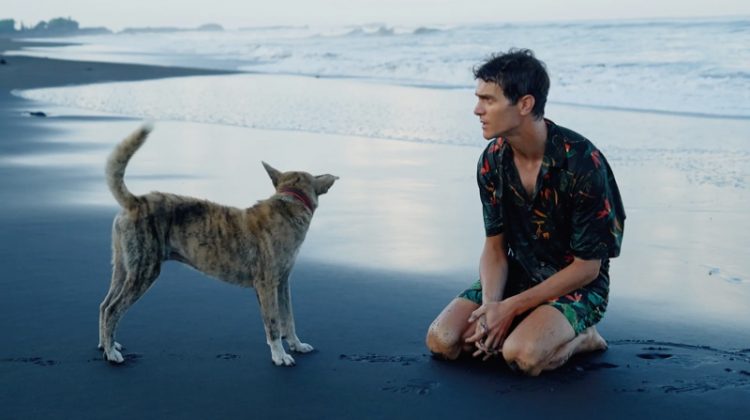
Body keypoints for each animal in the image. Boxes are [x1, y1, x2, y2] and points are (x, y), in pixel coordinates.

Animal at [98, 124, 340, 364]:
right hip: (144, 271)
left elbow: (288, 319)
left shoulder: (282, 283)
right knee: (113, 309)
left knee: (104, 305)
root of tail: (135, 201)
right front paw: (280, 355)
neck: (289, 204)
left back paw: (106, 345)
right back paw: (112, 353)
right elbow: (273, 324)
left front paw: (296, 345)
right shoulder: (267, 283)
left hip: (123, 268)